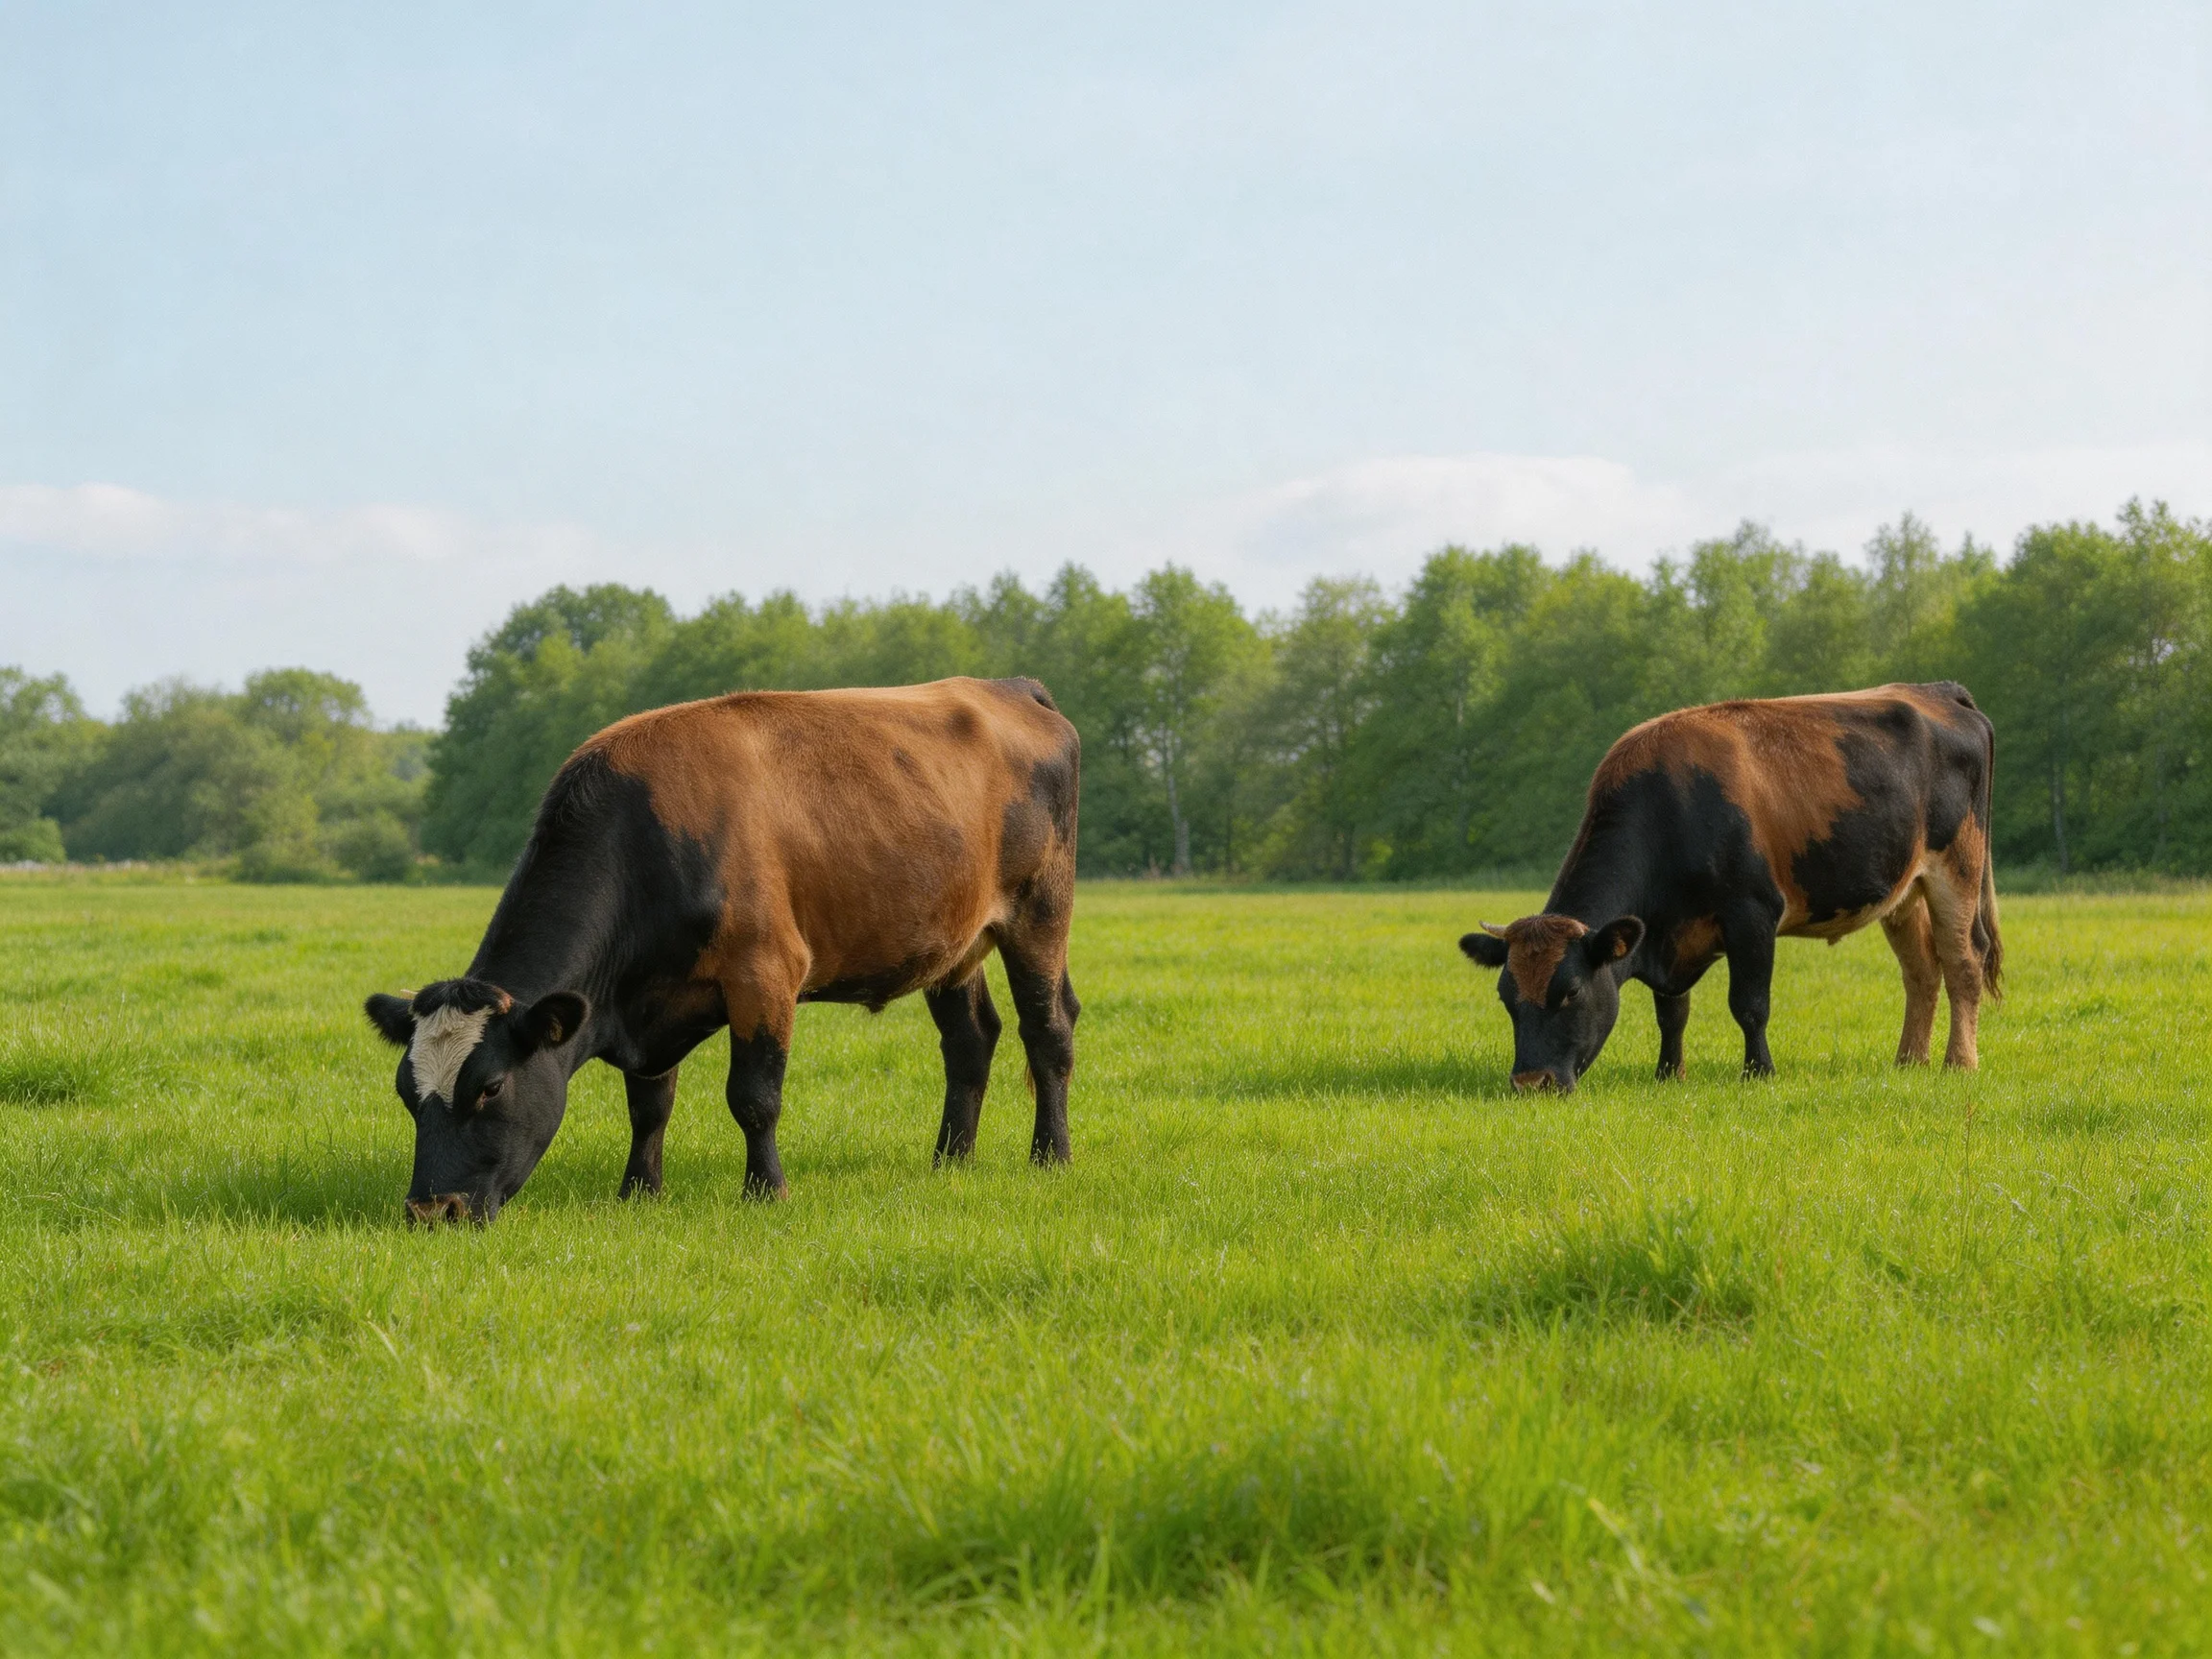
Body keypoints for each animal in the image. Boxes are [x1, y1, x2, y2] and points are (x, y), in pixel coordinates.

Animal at [363, 677, 1080, 1224]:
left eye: (489, 1088)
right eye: (405, 1092)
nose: (430, 1211)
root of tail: (1008, 686)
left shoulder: (765, 973)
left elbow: (754, 1096)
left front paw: (766, 1191)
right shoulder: (645, 1003)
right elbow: (649, 1106)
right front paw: (638, 1192)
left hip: (1040, 911)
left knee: (1047, 1030)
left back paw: (1051, 1156)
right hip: (954, 943)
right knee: (970, 1039)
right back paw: (950, 1159)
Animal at [1459, 682, 2000, 1091]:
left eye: (1570, 991)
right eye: (1506, 996)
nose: (1531, 1082)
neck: (1672, 811)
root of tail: (1937, 690)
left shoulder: (1752, 914)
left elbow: (1750, 1005)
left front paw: (1759, 1072)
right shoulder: (1667, 934)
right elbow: (1672, 1012)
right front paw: (1668, 1074)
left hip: (1958, 866)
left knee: (1963, 961)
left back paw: (1959, 1062)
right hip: (1904, 891)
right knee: (1922, 970)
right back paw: (1909, 1061)